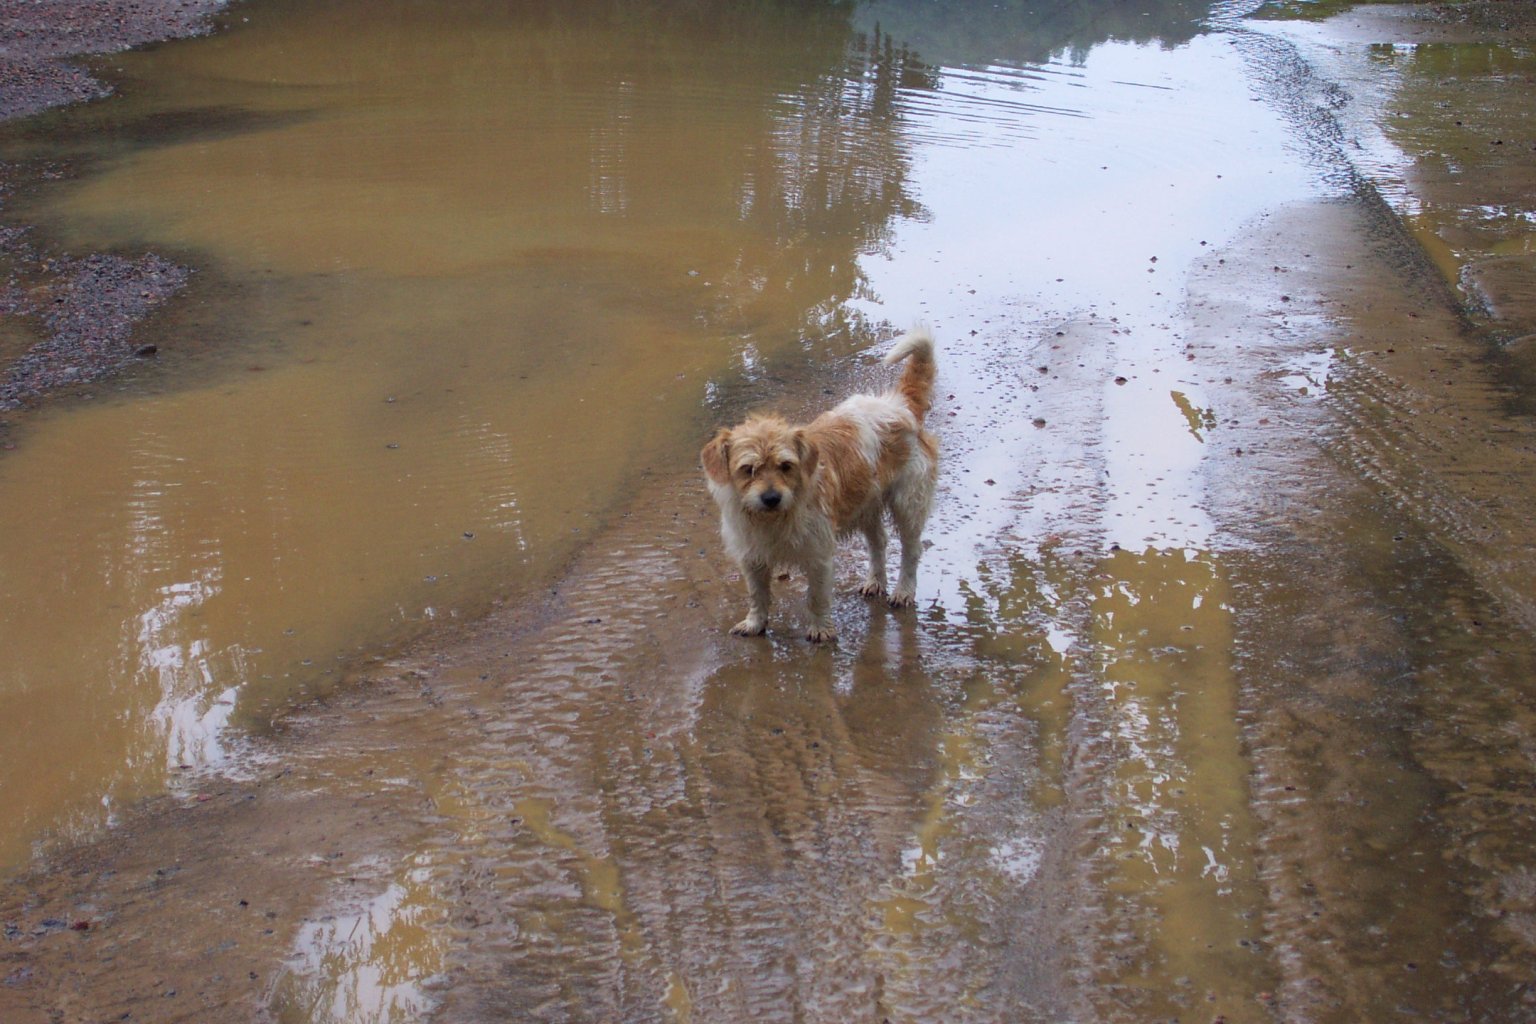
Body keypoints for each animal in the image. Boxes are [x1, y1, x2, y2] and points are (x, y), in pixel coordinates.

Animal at [703, 323, 933, 644]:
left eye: (786, 466)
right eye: (748, 469)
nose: (771, 498)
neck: (775, 518)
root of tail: (899, 405)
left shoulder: (819, 554)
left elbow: (817, 596)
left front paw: (821, 629)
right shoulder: (752, 557)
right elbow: (757, 595)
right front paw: (755, 623)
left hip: (908, 503)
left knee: (911, 551)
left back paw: (903, 590)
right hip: (867, 505)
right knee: (878, 543)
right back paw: (875, 581)